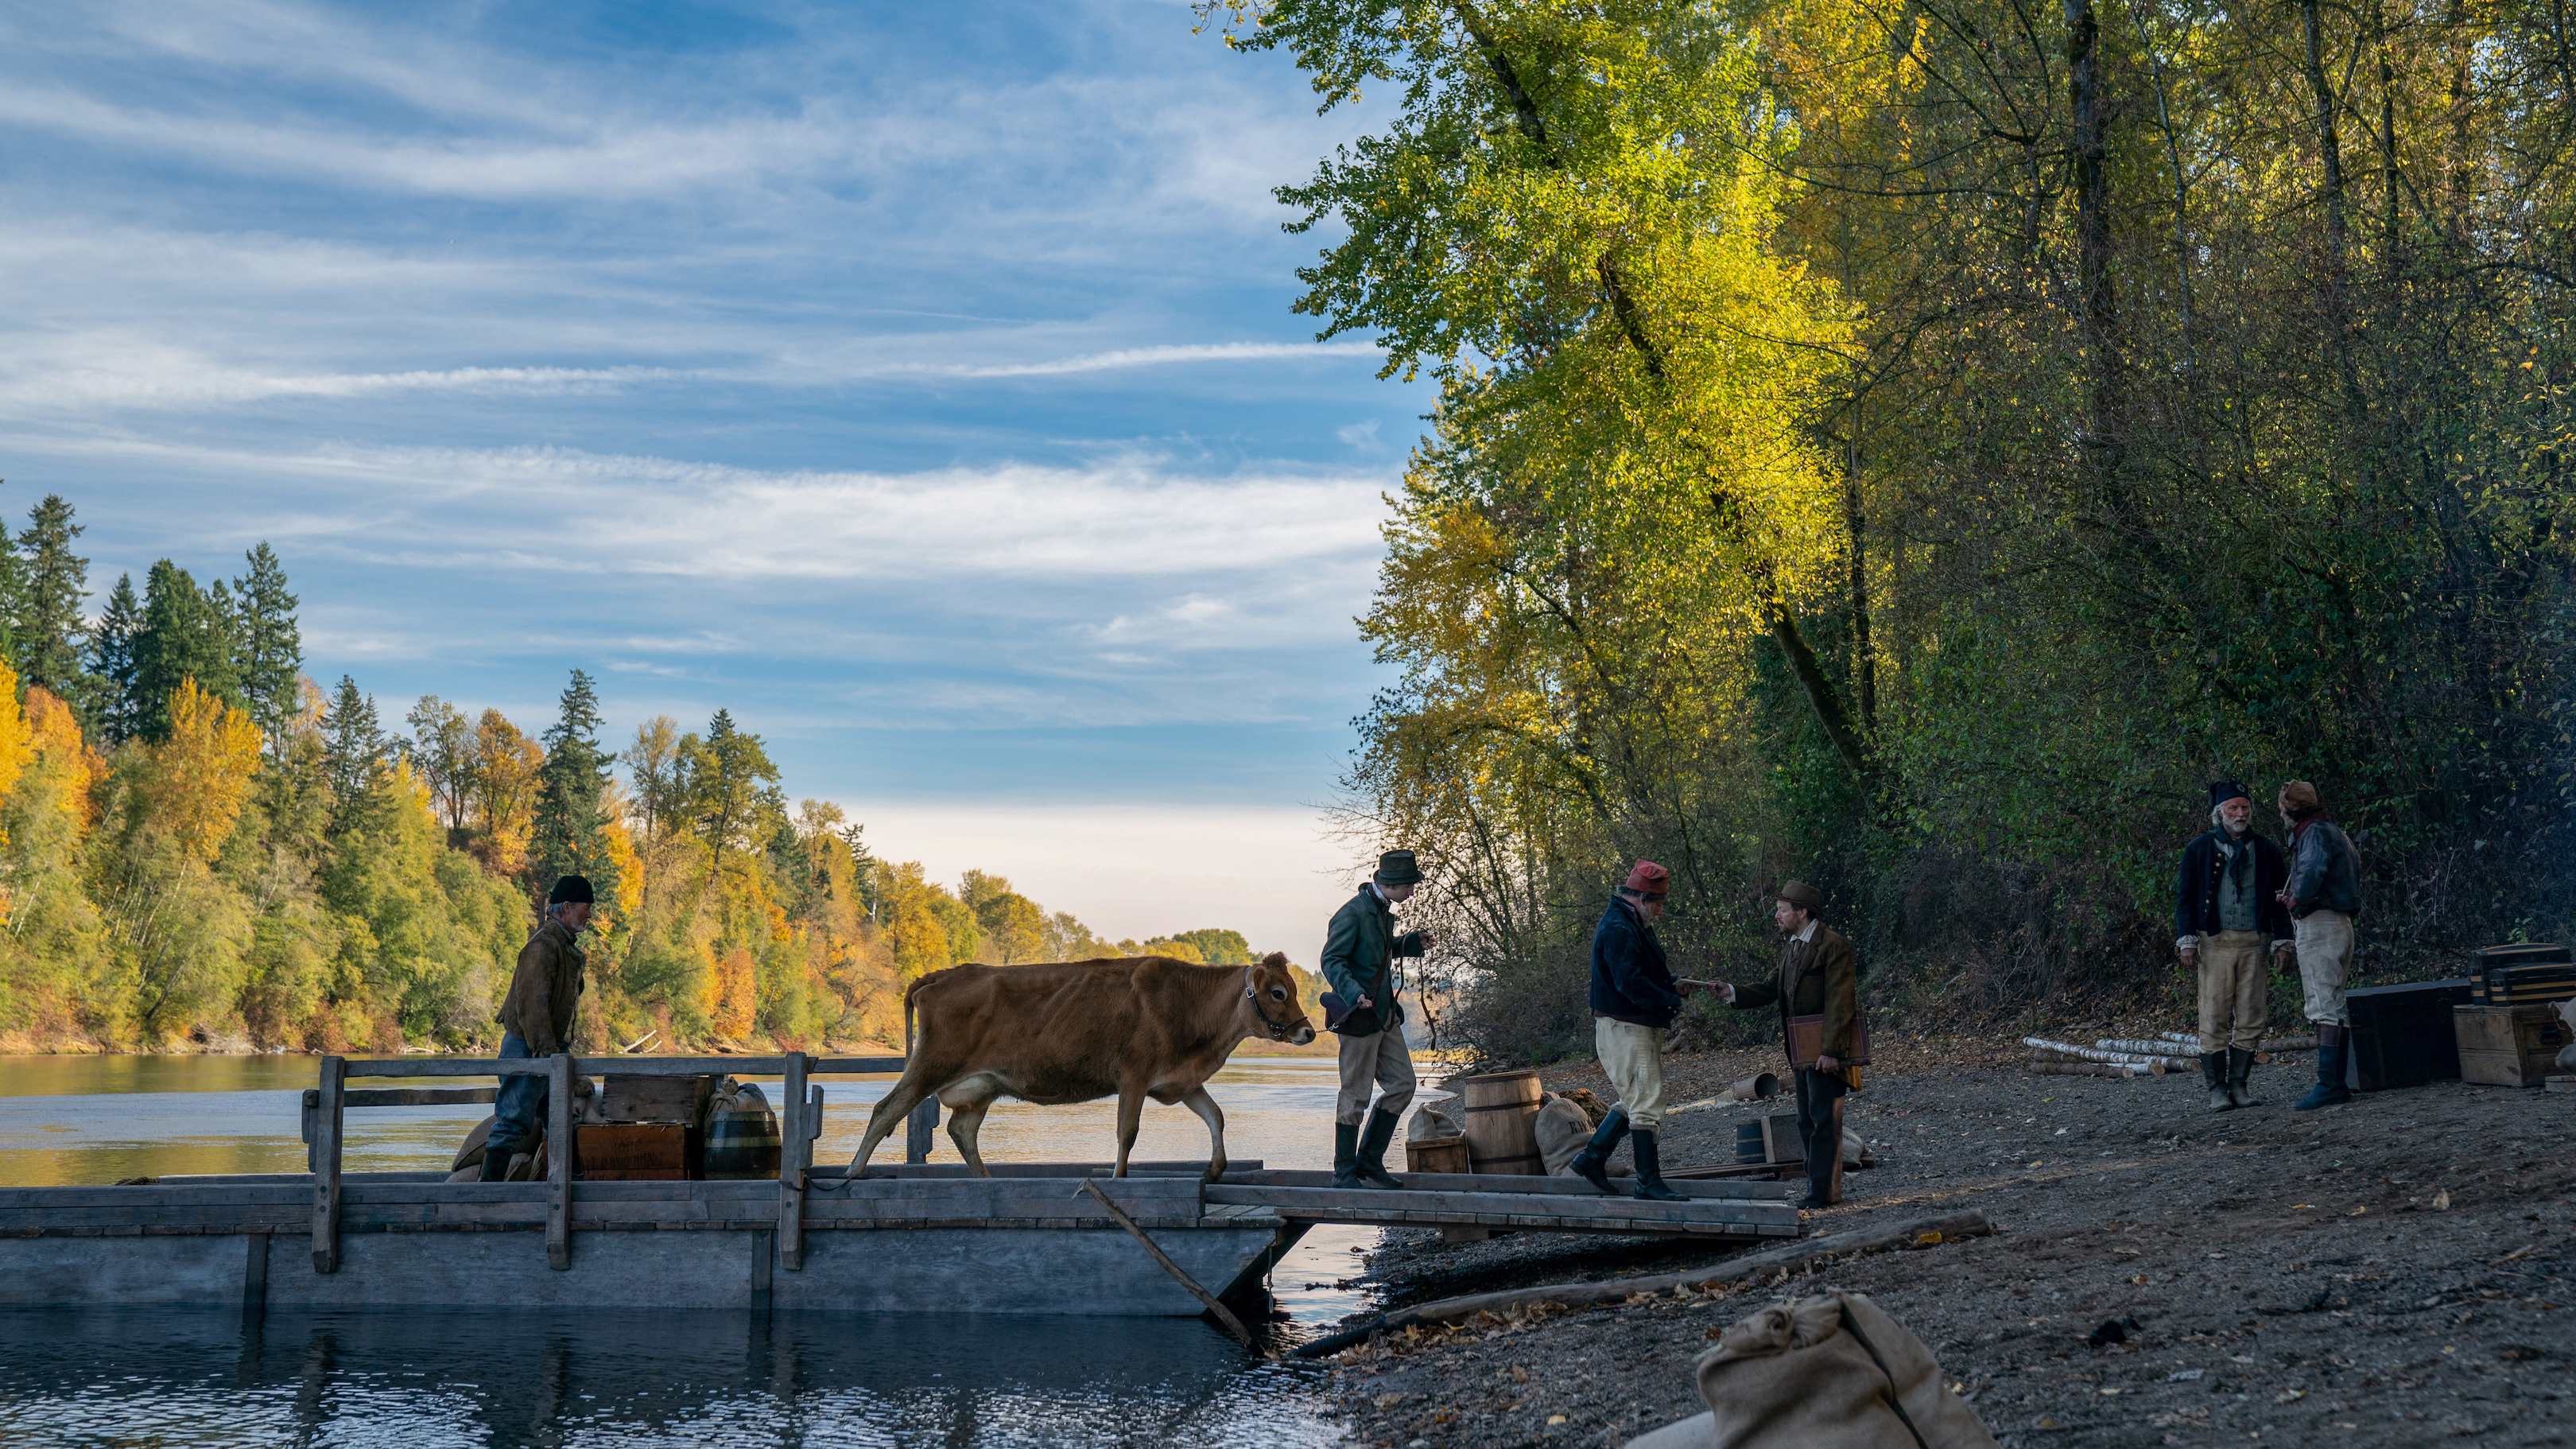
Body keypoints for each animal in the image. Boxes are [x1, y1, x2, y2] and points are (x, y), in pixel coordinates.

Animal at [844, 949, 1318, 1175]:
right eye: (1278, 992)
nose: (1309, 1032)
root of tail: (941, 975)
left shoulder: (1180, 1080)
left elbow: (1216, 1117)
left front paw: (1217, 1169)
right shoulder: (1134, 1074)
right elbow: (1127, 1133)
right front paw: (1117, 1180)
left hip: (980, 1087)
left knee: (961, 1130)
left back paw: (986, 1179)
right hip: (930, 1064)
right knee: (885, 1110)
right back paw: (852, 1174)